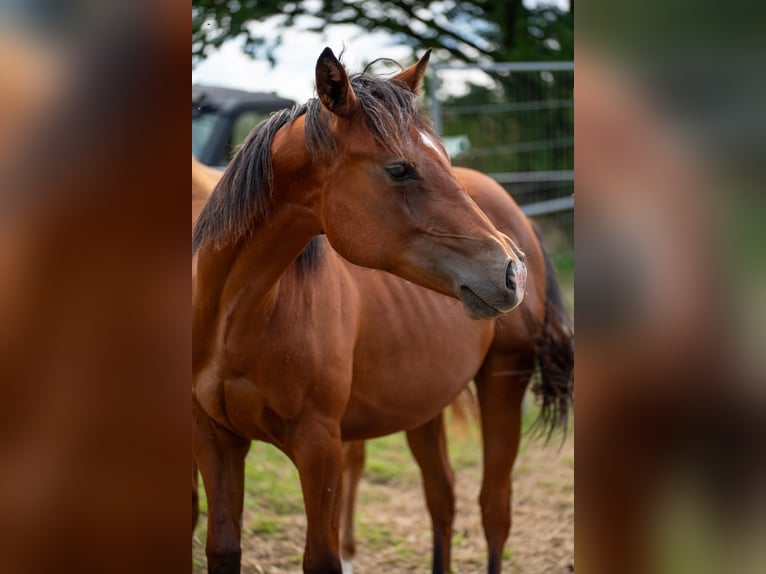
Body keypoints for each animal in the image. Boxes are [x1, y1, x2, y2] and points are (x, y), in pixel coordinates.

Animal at [192, 47, 558, 574]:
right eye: (400, 169)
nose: (512, 272)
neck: (237, 318)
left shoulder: (319, 446)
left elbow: (321, 557)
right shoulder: (215, 441)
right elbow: (222, 548)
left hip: (503, 383)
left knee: (494, 509)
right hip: (424, 402)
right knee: (442, 496)